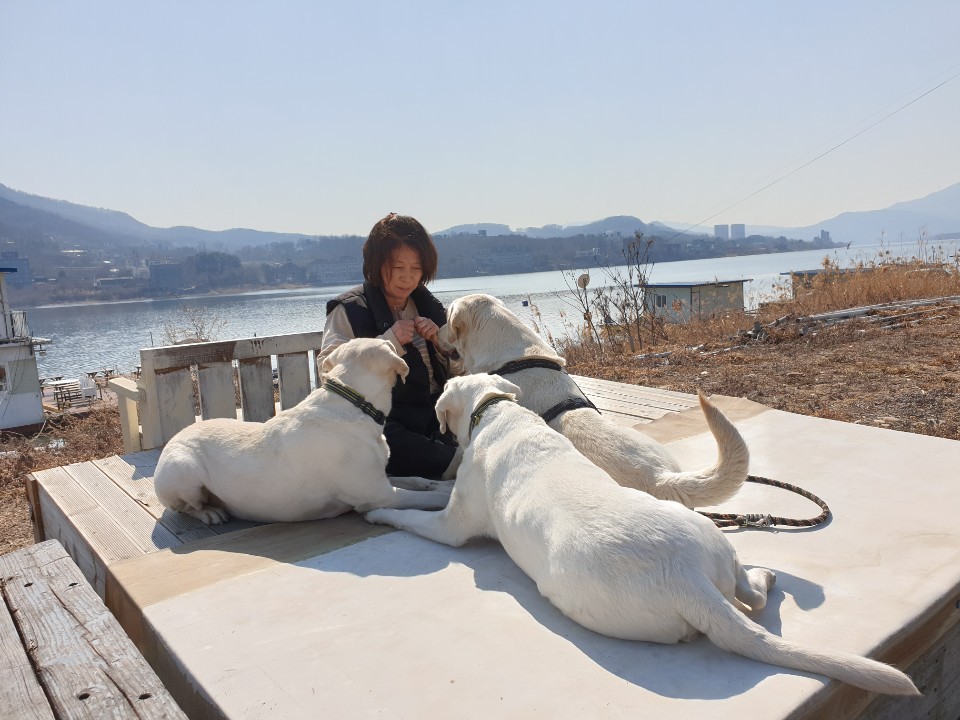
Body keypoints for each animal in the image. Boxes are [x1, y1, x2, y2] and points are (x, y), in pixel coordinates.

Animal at [154, 338, 451, 524]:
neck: (354, 401)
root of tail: (173, 439)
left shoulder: (381, 478)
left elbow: (417, 479)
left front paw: (441, 483)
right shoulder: (379, 494)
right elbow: (431, 497)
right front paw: (447, 493)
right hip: (183, 471)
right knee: (186, 507)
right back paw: (209, 513)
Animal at [365, 375, 918, 696]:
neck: (499, 411)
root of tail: (685, 578)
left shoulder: (453, 526)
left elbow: (416, 514)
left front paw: (379, 510)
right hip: (711, 541)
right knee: (752, 593)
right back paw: (763, 576)